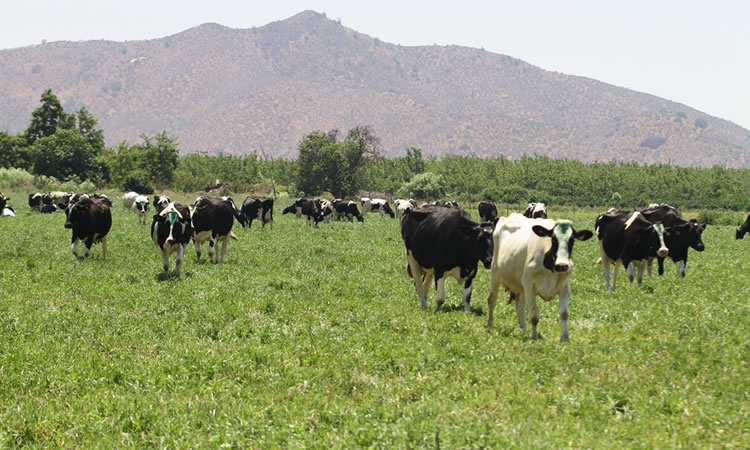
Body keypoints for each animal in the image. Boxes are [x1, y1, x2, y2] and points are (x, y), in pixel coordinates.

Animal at [490, 214, 596, 342]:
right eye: (553, 239)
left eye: (572, 240)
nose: (562, 265)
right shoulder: (529, 285)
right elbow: (534, 315)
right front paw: (534, 337)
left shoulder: (564, 287)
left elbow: (564, 314)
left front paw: (565, 338)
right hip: (495, 274)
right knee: (492, 300)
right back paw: (490, 325)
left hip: (521, 287)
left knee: (520, 307)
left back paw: (523, 330)